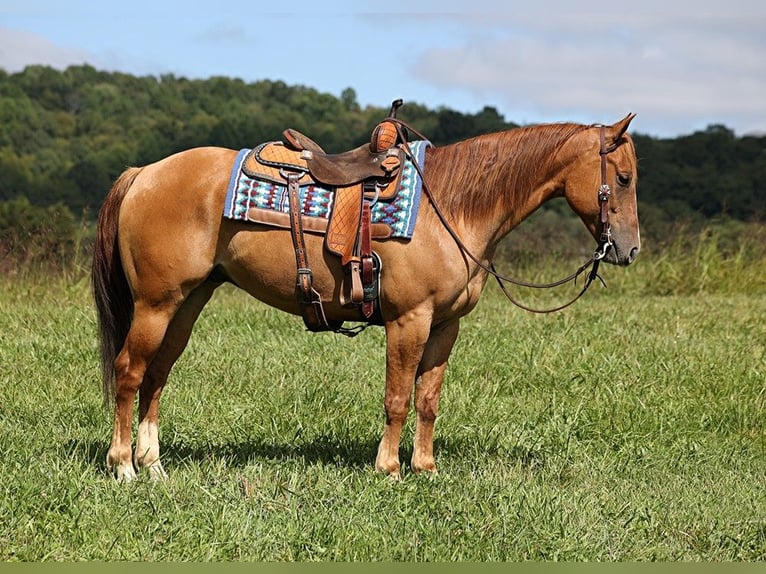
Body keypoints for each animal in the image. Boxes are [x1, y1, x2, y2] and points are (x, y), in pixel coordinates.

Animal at [91, 112, 640, 482]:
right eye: (625, 178)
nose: (629, 249)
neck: (453, 206)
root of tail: (144, 173)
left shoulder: (445, 325)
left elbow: (428, 399)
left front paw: (426, 468)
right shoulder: (409, 320)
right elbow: (397, 398)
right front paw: (389, 469)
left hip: (186, 303)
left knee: (157, 375)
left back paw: (153, 465)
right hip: (155, 305)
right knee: (129, 372)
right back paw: (123, 467)